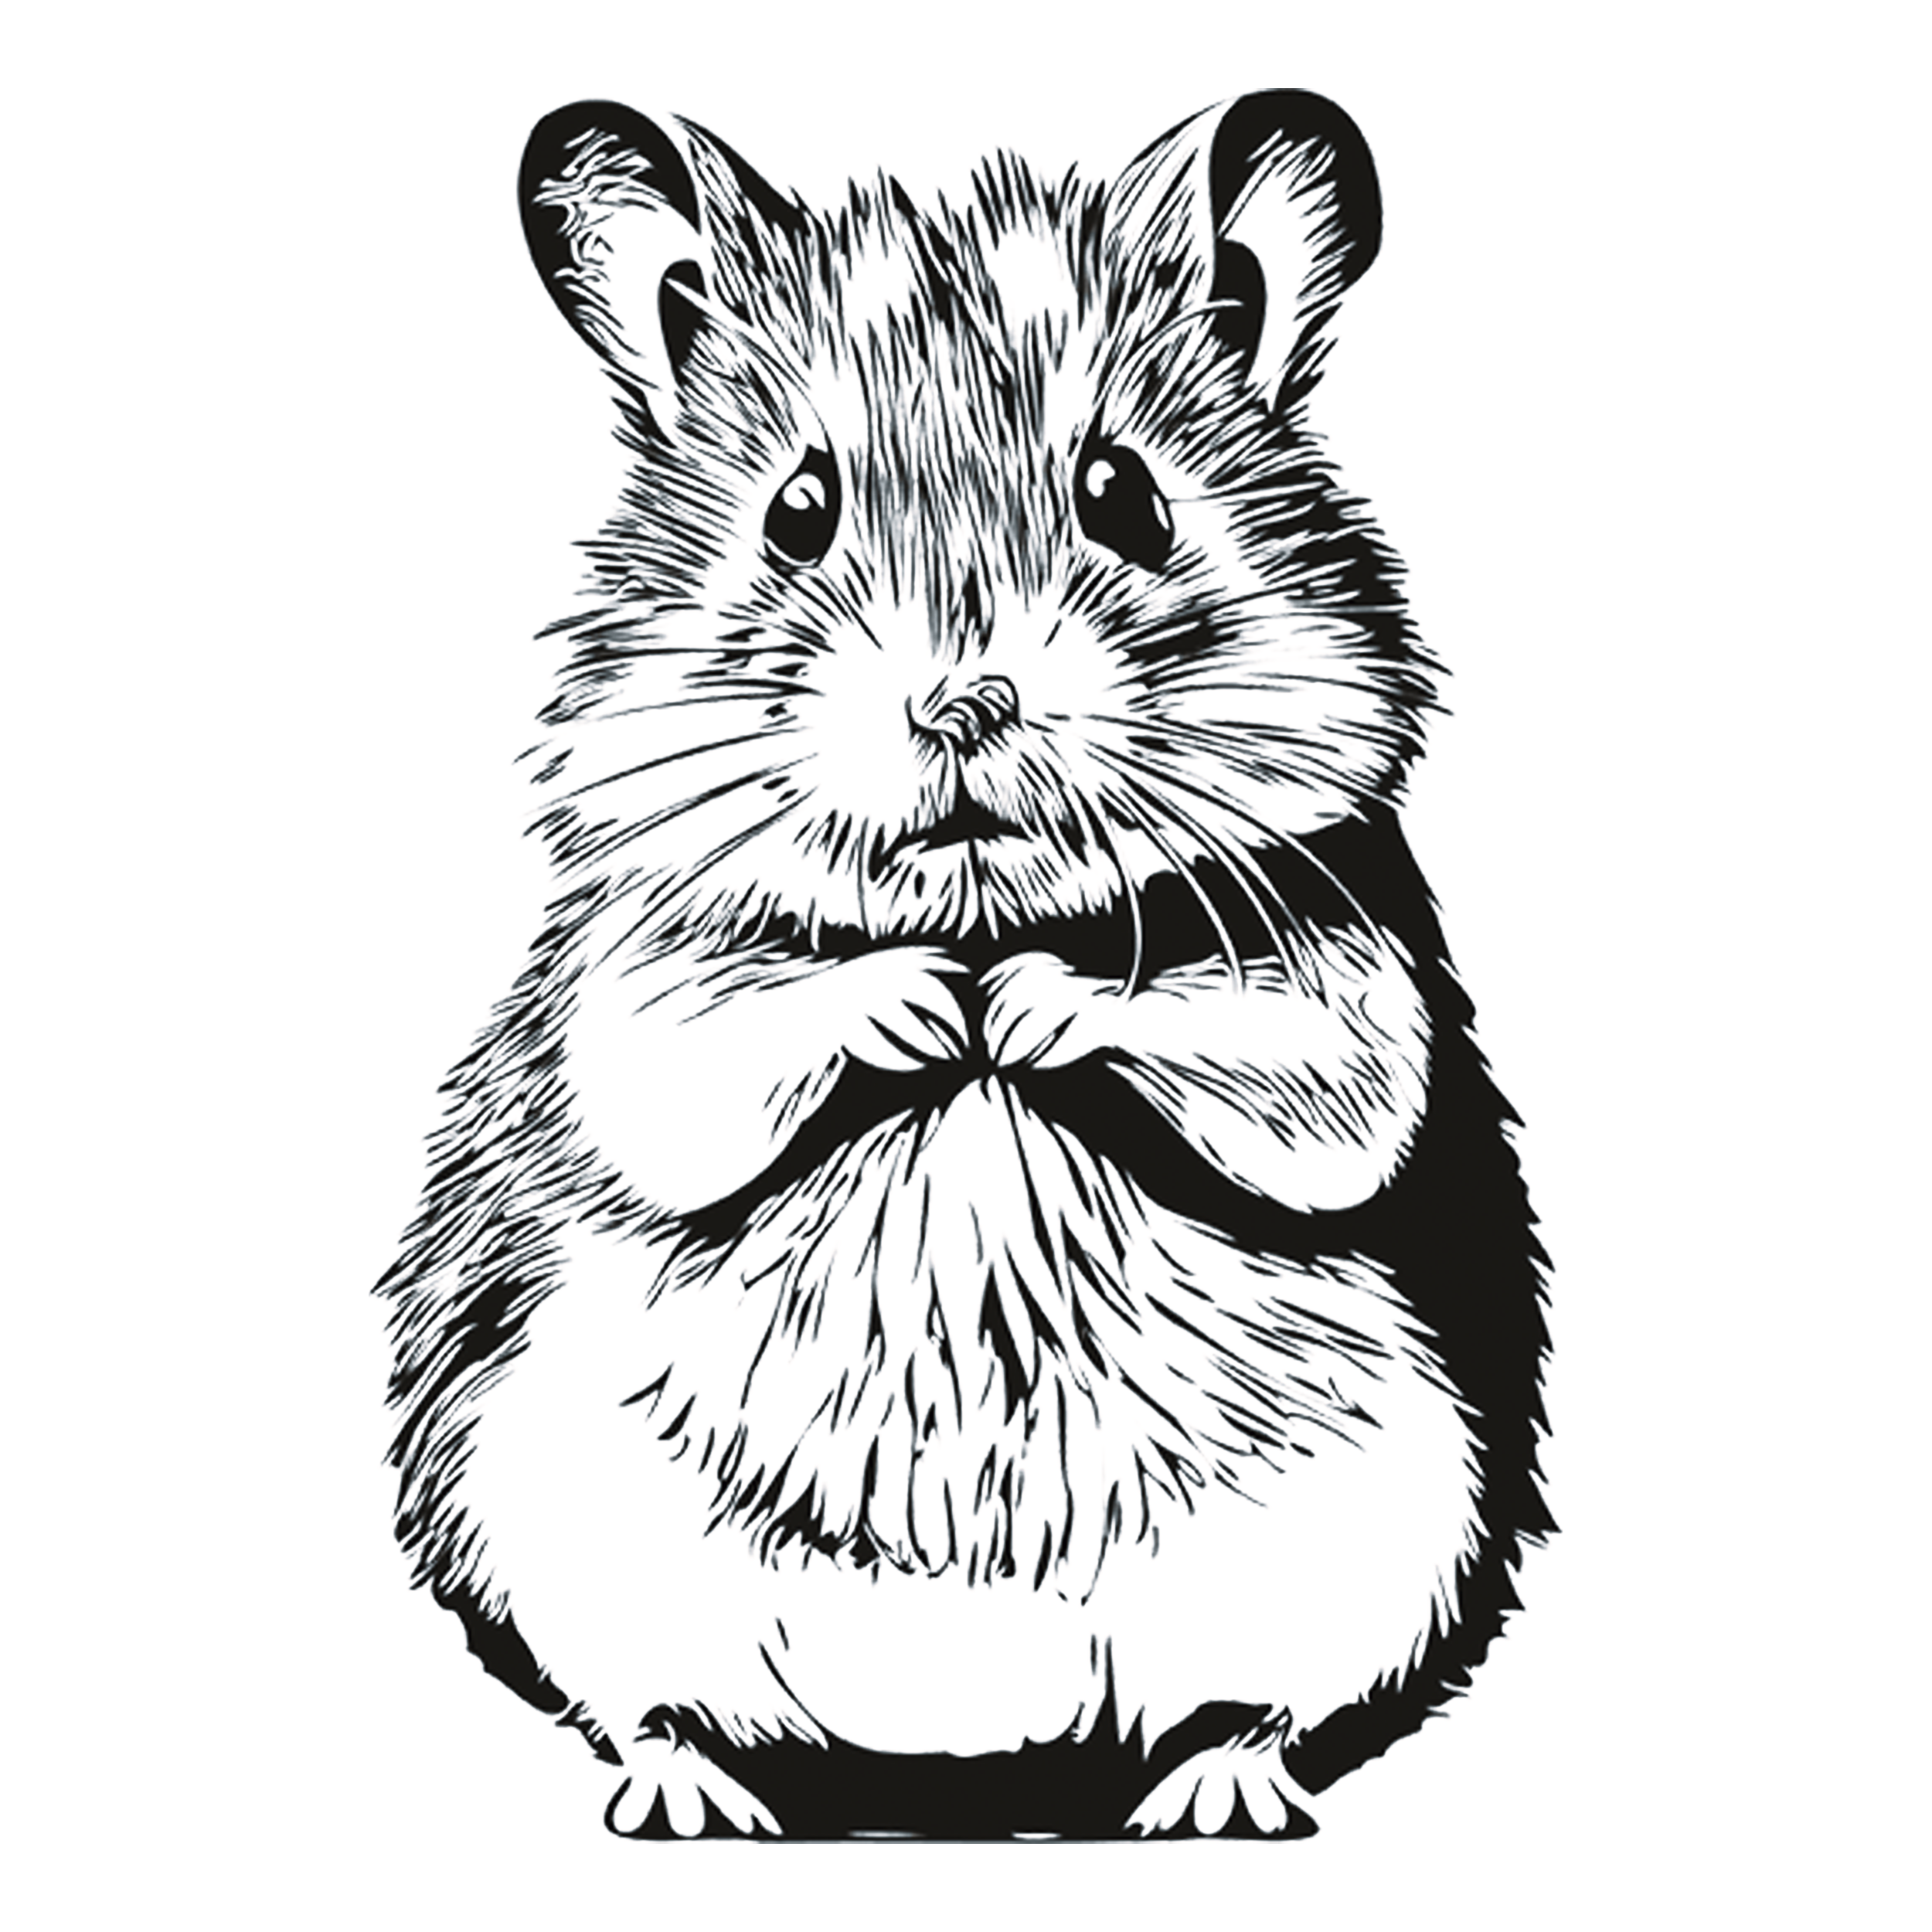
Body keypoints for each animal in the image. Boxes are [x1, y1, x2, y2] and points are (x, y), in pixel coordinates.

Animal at [379, 90, 1552, 1840]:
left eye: (1124, 493)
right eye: (796, 513)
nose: (960, 705)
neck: (978, 903)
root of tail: (953, 1757)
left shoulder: (1347, 973)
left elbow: (1295, 1077)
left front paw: (1020, 1008)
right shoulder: (634, 992)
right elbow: (711, 1051)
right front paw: (930, 1004)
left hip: (1392, 1526)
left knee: (1265, 1704)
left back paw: (1215, 1790)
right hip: (545, 1514)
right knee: (641, 1702)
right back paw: (690, 1792)